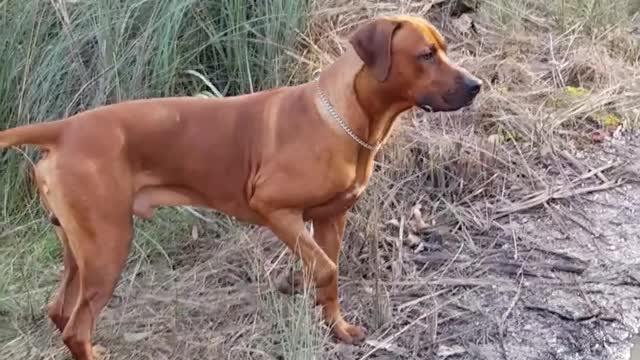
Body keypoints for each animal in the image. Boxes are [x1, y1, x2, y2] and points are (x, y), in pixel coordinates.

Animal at [0, 14, 480, 360]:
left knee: (60, 310)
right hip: (109, 246)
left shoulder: (330, 219)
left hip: (81, 248)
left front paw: (336, 327)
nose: (477, 85)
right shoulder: (274, 208)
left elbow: (327, 273)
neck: (348, 119)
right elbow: (327, 268)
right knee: (76, 327)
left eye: (444, 50)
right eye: (425, 55)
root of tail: (65, 129)